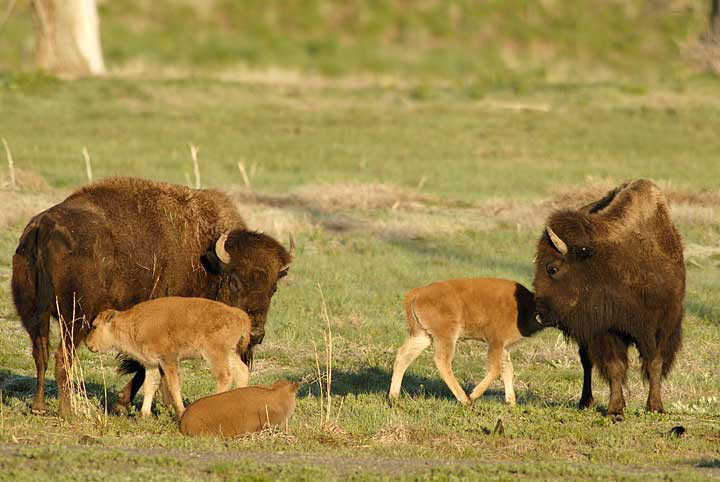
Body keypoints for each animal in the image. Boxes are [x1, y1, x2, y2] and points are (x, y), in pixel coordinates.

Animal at [11, 177, 294, 418]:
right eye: (234, 281)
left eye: (273, 288)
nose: (256, 334)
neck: (205, 258)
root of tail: (42, 227)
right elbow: (145, 368)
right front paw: (126, 404)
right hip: (74, 319)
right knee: (62, 358)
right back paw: (67, 411)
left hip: (34, 316)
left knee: (41, 354)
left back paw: (39, 407)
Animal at [389, 278, 545, 405]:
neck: (525, 305)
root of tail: (416, 293)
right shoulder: (496, 342)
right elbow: (496, 368)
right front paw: (473, 395)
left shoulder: (505, 347)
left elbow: (508, 369)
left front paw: (511, 403)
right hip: (446, 336)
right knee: (442, 361)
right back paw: (464, 399)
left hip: (424, 335)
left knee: (403, 356)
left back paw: (393, 397)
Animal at [533, 179, 685, 421]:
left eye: (552, 268)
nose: (539, 313)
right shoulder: (607, 330)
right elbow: (615, 368)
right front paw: (615, 410)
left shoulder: (662, 326)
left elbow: (655, 363)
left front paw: (655, 407)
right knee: (587, 363)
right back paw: (585, 402)